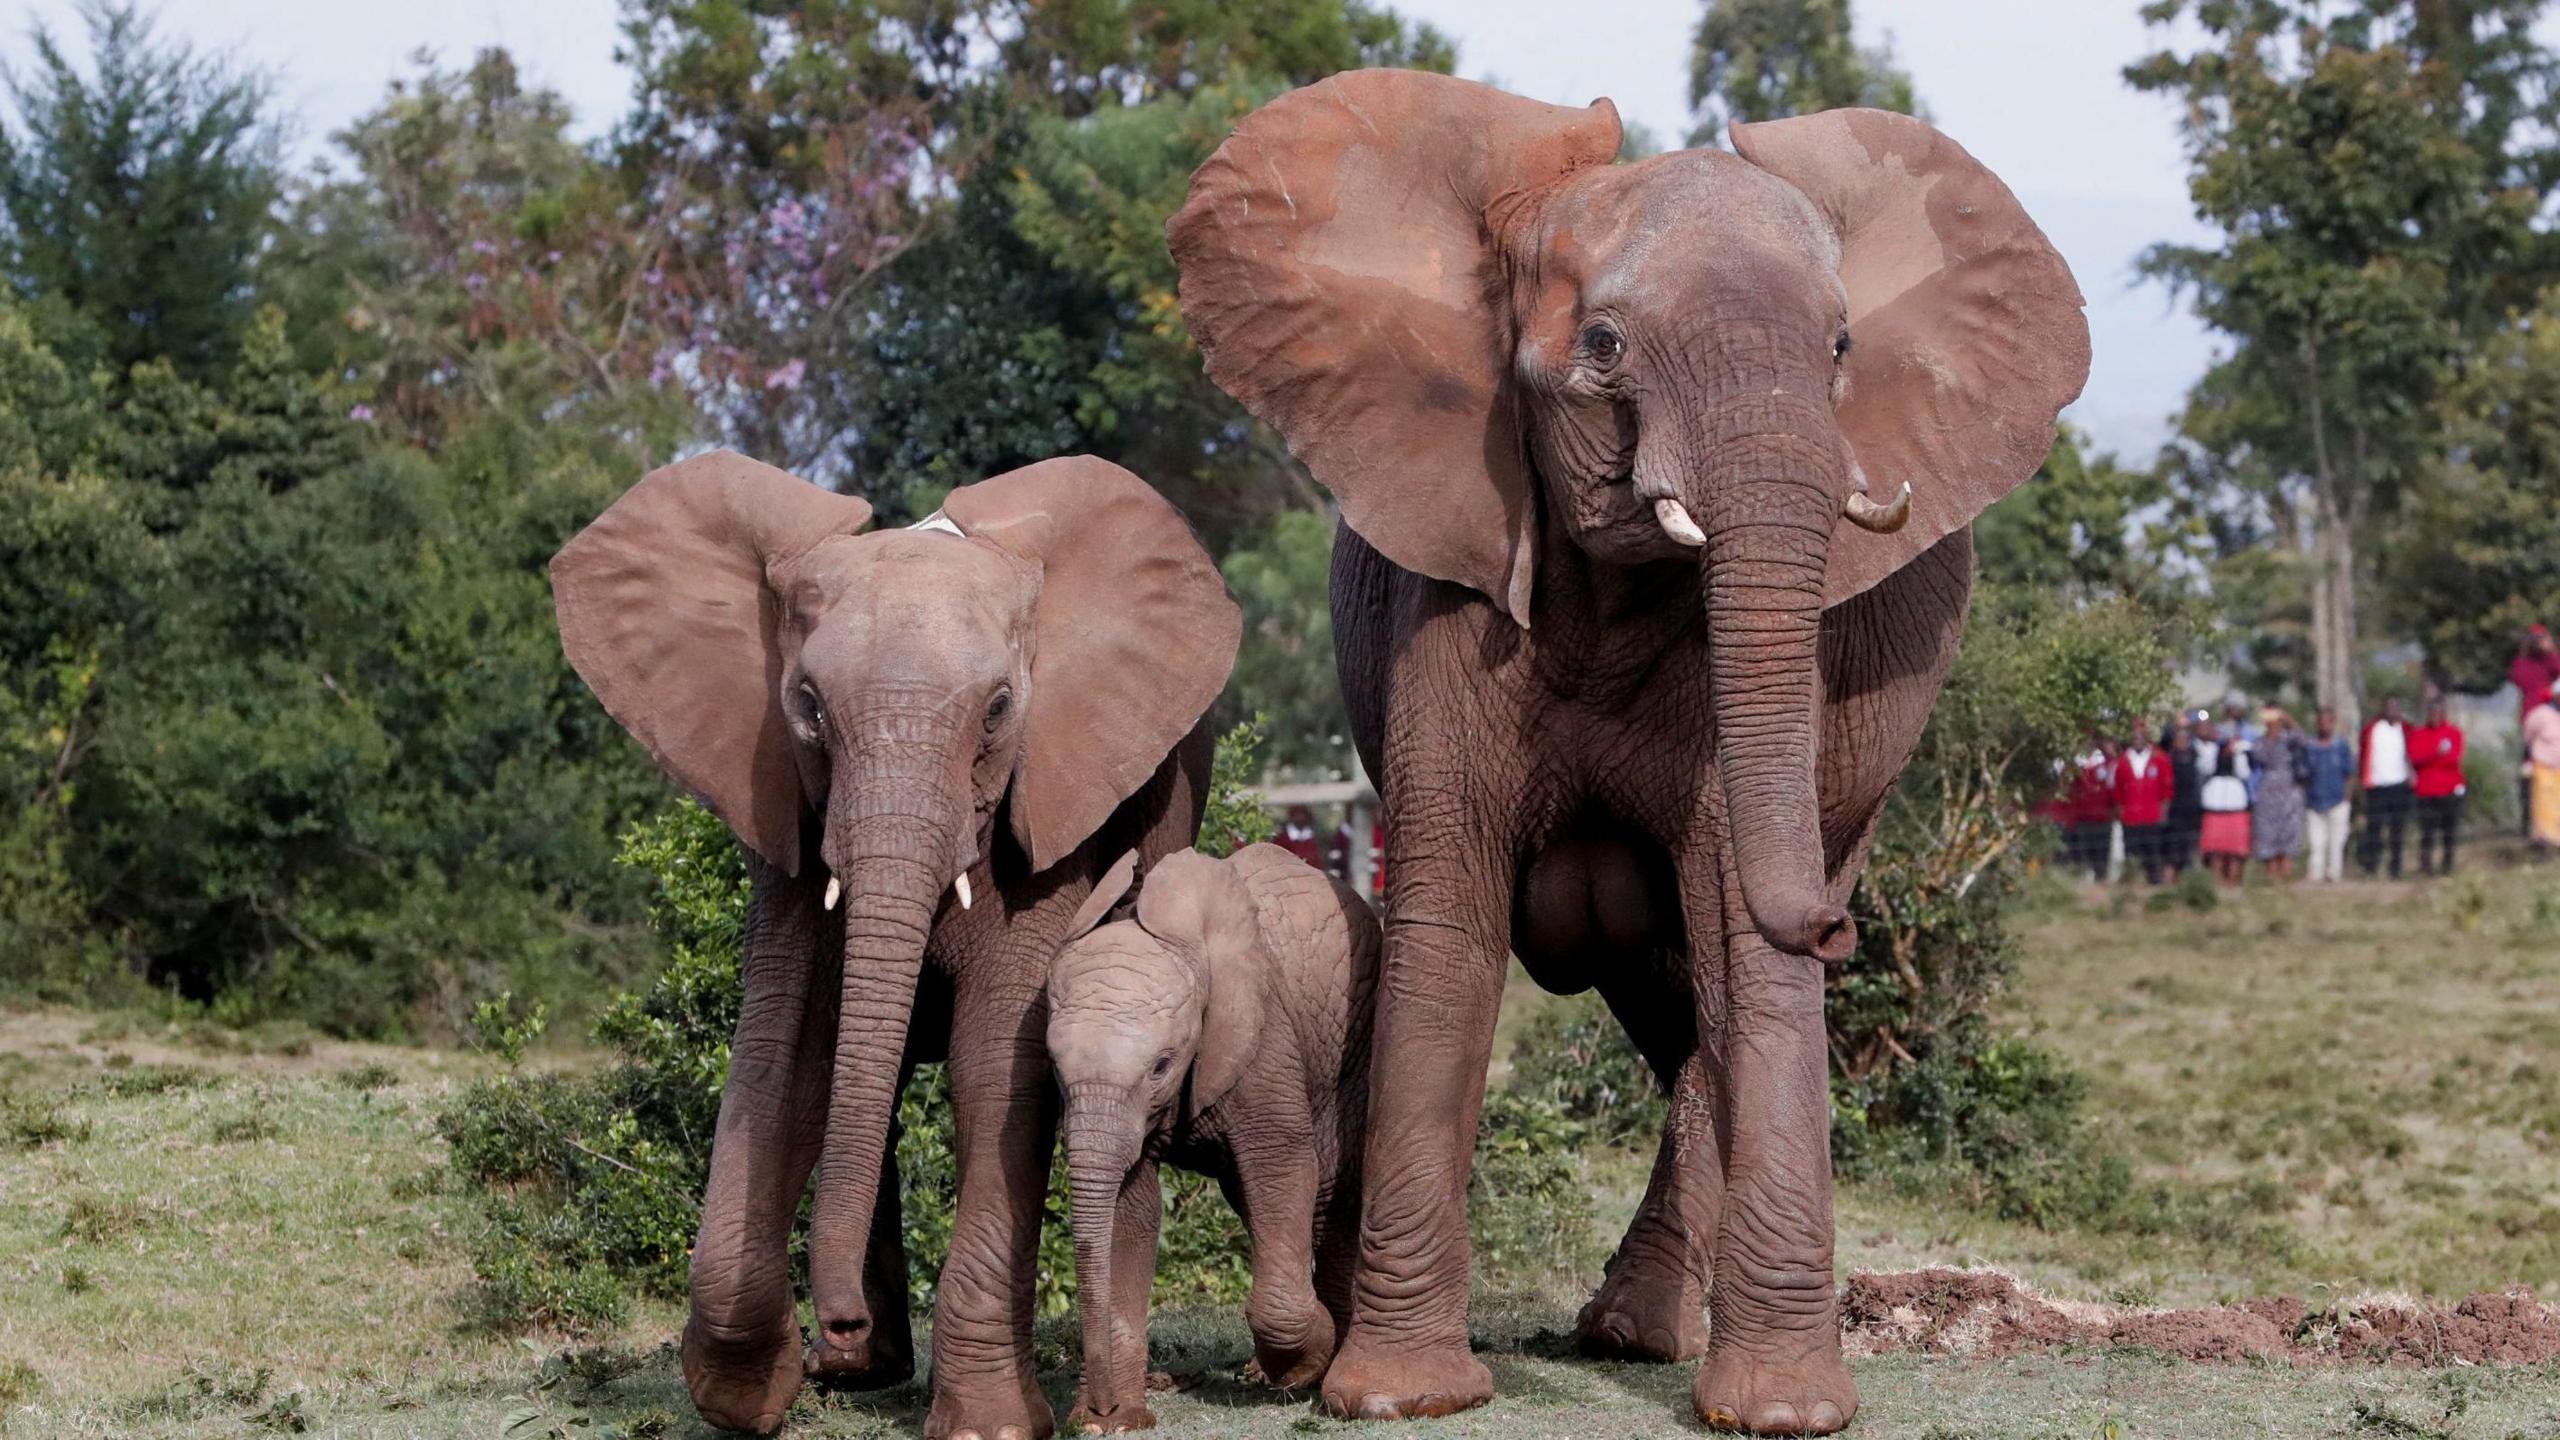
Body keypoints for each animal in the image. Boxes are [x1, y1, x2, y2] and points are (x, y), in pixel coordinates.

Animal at [555, 450, 1244, 1434]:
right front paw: (750, 1396)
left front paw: (992, 1423)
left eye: (998, 710)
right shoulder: (785, 811)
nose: (834, 1322)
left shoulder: (1051, 807)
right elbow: (788, 1055)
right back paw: (863, 1373)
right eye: (806, 707)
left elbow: (996, 1067)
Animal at [1039, 840, 1382, 1424]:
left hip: (1354, 1045)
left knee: (1329, 1191)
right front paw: (1119, 1424)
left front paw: (1304, 1366)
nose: (1100, 1409)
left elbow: (1282, 1164)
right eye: (1056, 1070)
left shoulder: (1262, 1037)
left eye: (1161, 1065)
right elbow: (1132, 1207)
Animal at [1172, 70, 2088, 1434]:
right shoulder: (1453, 577)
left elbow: (1736, 930)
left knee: (1700, 994)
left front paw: (1783, 1415)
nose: (1842, 924)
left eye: (1839, 349)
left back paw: (1643, 1334)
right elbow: (1447, 926)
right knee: (1666, 999)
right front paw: (1401, 1398)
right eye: (1602, 347)